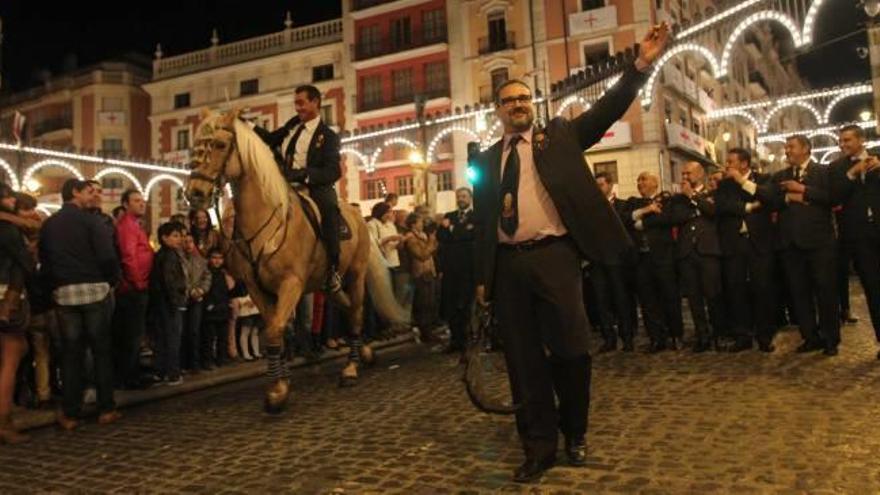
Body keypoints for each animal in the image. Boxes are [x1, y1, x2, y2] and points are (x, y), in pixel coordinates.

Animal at [187, 109, 408, 414]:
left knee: (355, 312)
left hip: (355, 274)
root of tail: (356, 215)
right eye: (195, 145)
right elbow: (275, 330)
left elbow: (276, 329)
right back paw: (363, 351)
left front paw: (278, 392)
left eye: (220, 145)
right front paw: (279, 380)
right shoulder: (257, 289)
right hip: (328, 285)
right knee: (348, 308)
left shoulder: (290, 283)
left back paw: (351, 367)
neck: (266, 221)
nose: (194, 193)